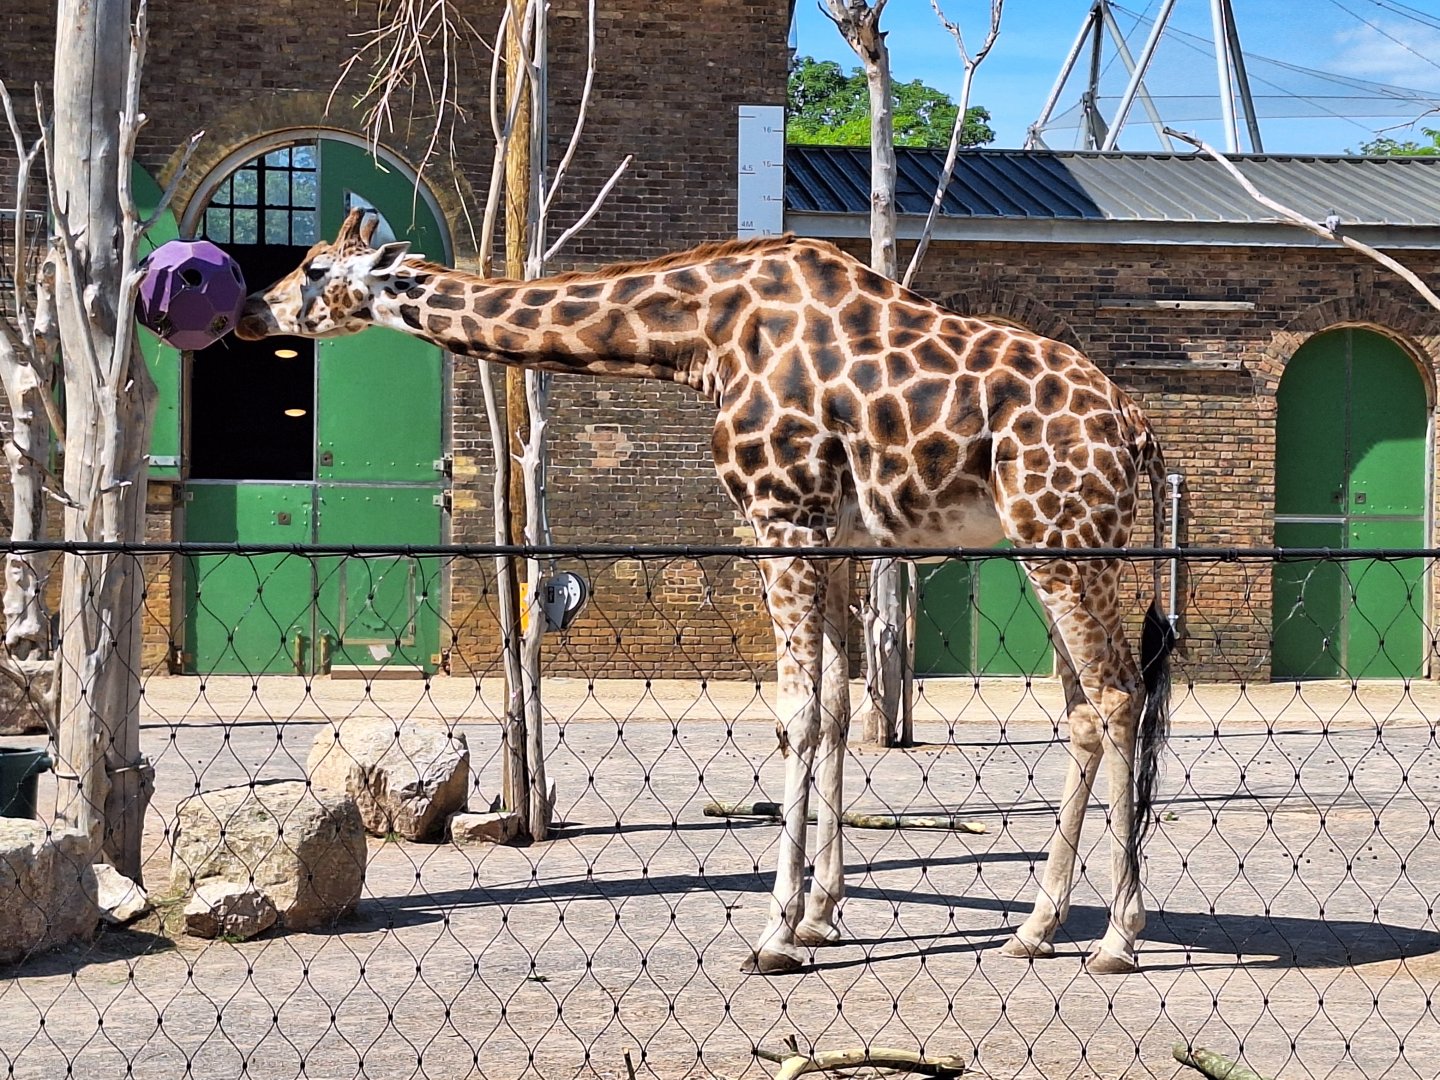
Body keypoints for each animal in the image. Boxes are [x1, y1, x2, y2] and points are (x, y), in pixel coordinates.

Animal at [237, 208, 1178, 976]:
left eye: (315, 268)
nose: (250, 310)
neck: (700, 334)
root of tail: (1136, 425)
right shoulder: (832, 534)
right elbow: (837, 705)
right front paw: (821, 915)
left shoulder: (783, 513)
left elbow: (798, 712)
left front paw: (774, 934)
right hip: (1044, 543)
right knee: (1084, 708)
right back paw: (1037, 927)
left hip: (1068, 539)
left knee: (1118, 694)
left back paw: (1117, 938)